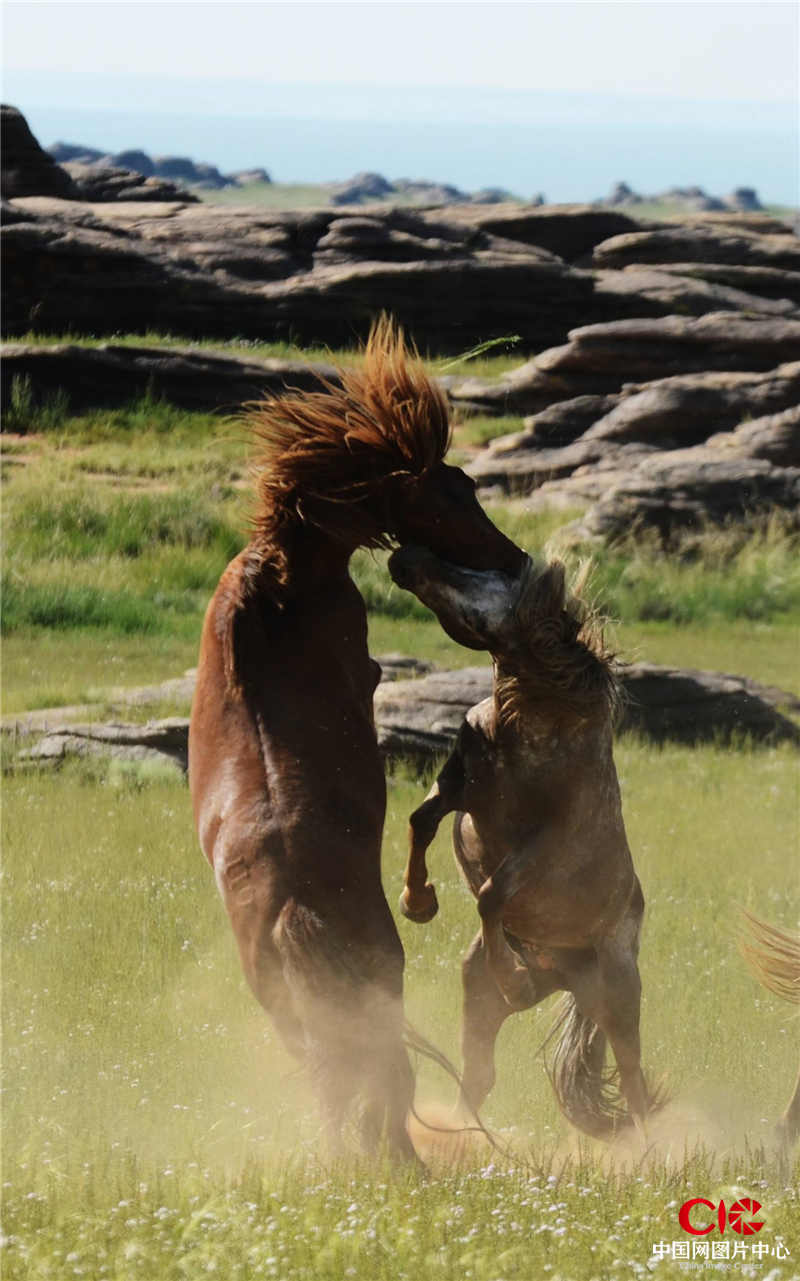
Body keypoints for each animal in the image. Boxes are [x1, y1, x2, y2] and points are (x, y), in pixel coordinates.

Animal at [186, 320, 524, 1163]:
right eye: (454, 490)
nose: (512, 560)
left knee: (337, 1089)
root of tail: (294, 910)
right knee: (378, 1088)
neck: (281, 586)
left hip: (292, 1011)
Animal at [389, 545, 660, 1137]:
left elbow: (493, 893)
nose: (405, 555)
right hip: (477, 997)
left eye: (488, 575)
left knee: (635, 1084)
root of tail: (565, 979)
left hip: (621, 996)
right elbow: (420, 823)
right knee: (479, 1075)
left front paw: (511, 977)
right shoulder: (459, 788)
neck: (532, 726)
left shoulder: (551, 844)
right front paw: (418, 902)